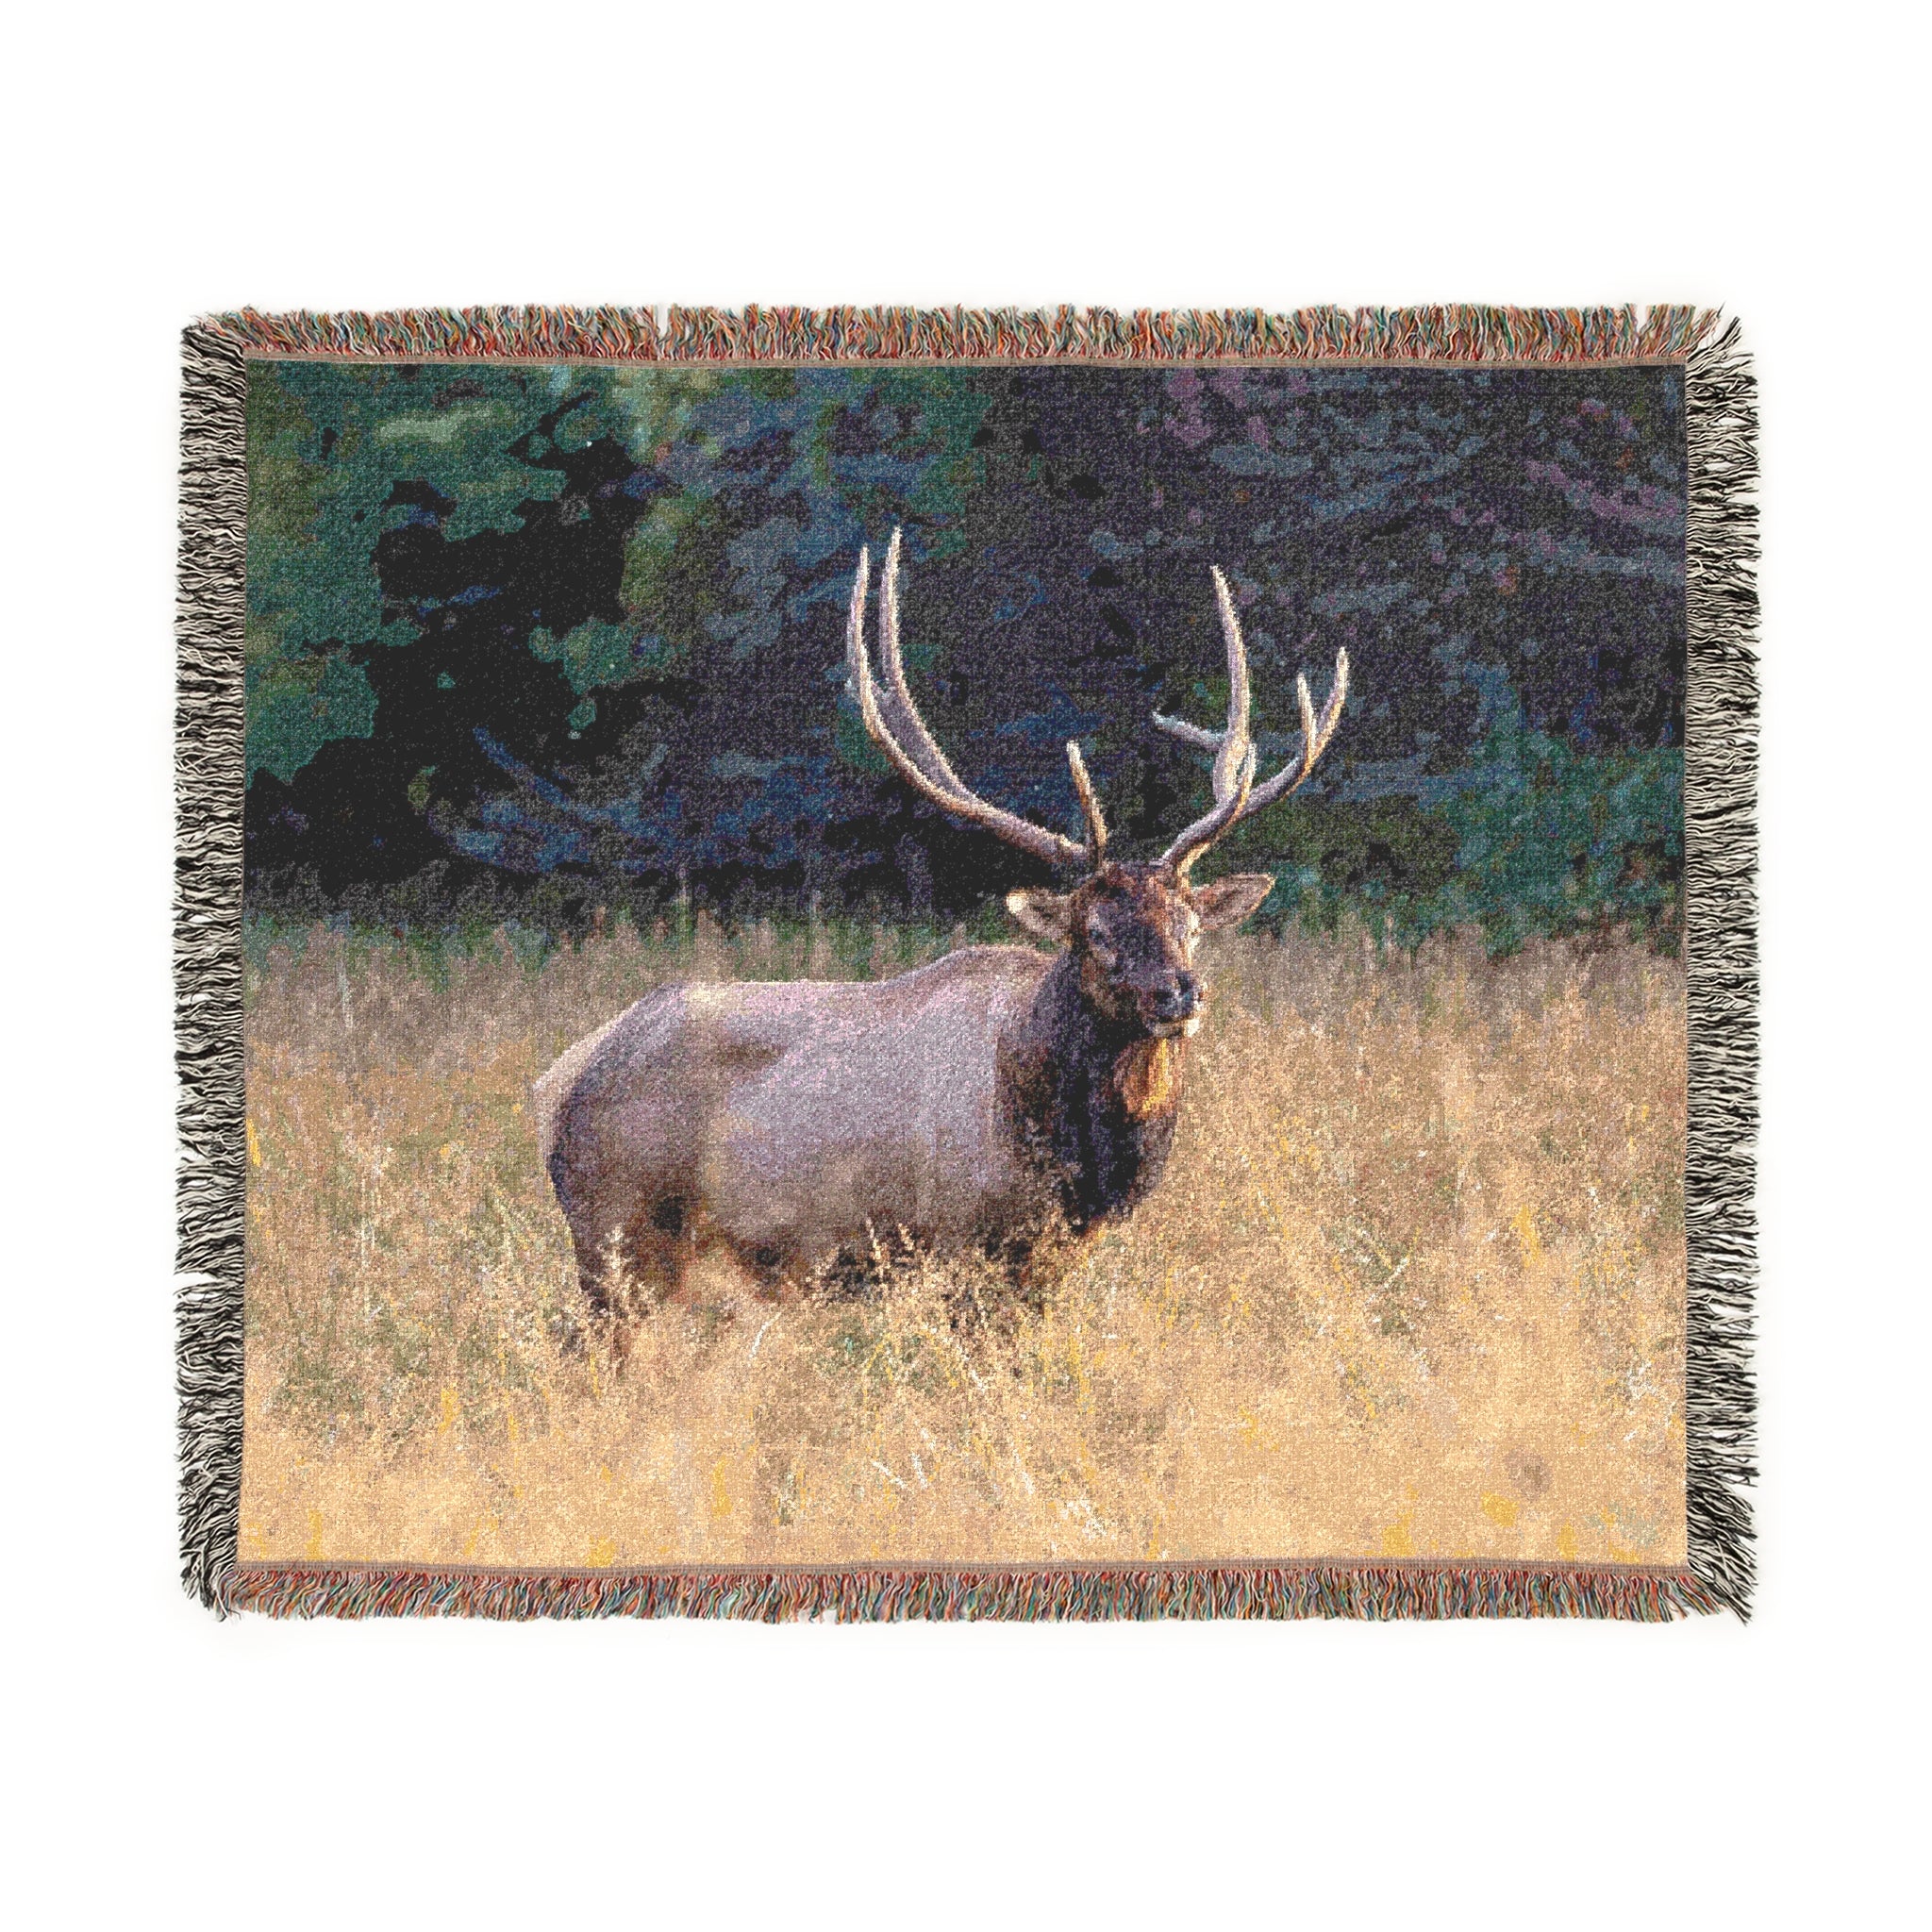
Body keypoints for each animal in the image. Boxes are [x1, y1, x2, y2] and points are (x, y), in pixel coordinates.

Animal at [535, 529, 1347, 1344]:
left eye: (1191, 926)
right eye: (1095, 931)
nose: (1179, 994)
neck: (1069, 1154)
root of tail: (556, 1082)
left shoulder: (1049, 1259)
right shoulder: (962, 1242)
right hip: (617, 1235)